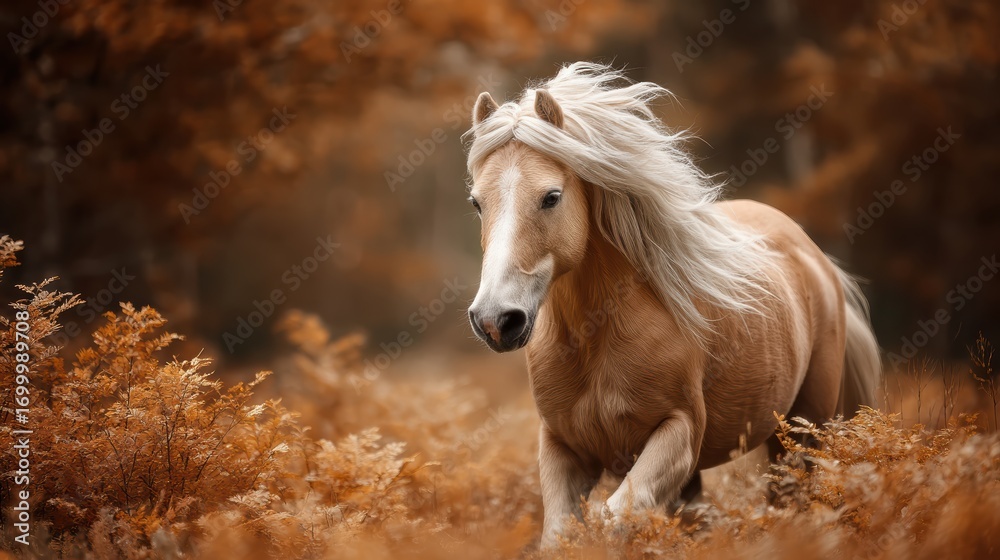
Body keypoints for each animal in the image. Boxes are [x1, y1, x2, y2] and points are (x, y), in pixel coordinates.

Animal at [463, 62, 881, 547]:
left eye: (551, 197)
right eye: (477, 203)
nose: (496, 320)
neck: (598, 337)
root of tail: (817, 260)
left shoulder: (678, 435)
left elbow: (614, 518)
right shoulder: (561, 447)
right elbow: (560, 535)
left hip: (800, 434)